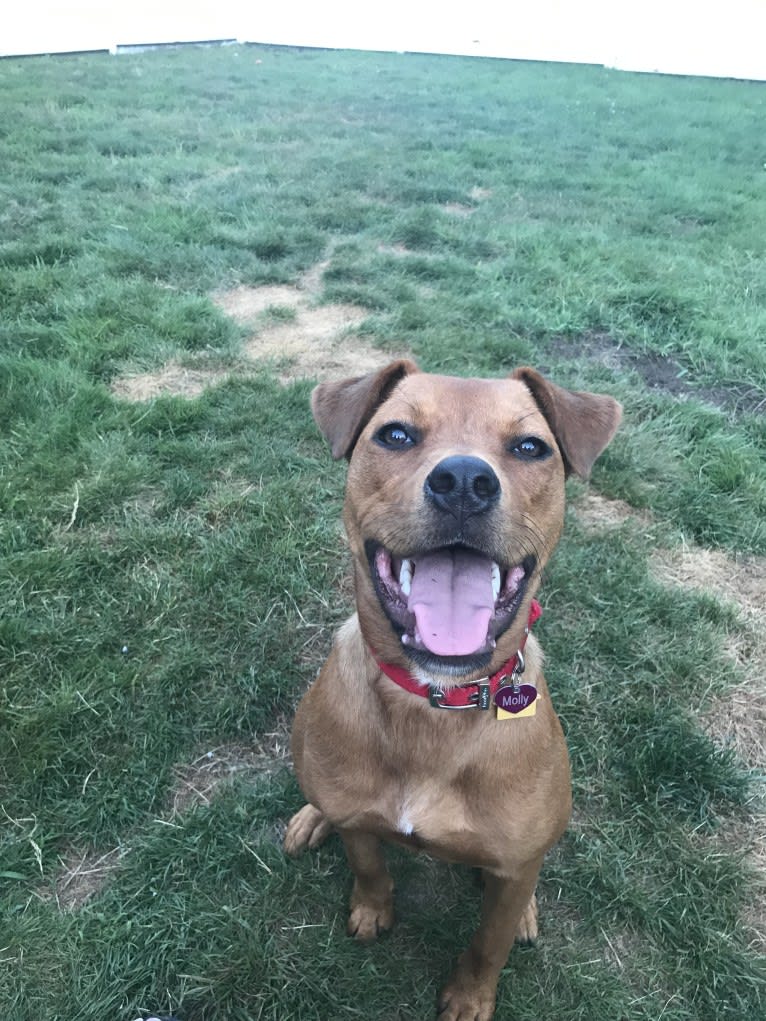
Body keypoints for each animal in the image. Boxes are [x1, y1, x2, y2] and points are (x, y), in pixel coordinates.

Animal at [285, 363, 620, 1016]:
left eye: (530, 447)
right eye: (395, 435)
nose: (463, 480)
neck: (436, 701)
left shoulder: (513, 870)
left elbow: (489, 942)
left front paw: (469, 997)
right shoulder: (360, 824)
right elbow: (369, 866)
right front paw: (372, 911)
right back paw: (312, 818)